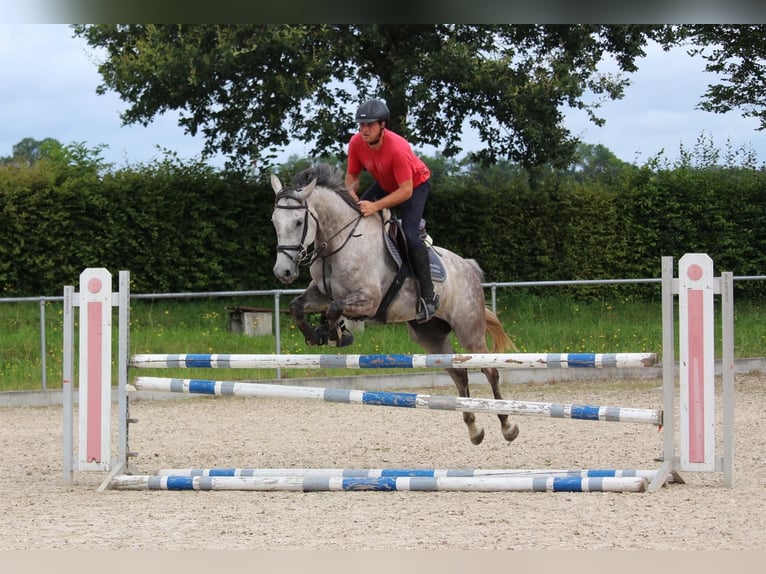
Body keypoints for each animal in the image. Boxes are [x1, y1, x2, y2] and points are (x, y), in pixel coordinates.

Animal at [272, 164, 520, 448]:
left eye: (299, 222)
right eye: (274, 222)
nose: (283, 272)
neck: (340, 243)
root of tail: (468, 266)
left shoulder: (369, 299)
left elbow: (335, 308)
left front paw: (336, 333)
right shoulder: (322, 293)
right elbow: (298, 306)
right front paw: (317, 335)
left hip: (470, 329)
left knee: (489, 369)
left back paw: (507, 426)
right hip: (431, 337)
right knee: (459, 374)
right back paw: (474, 430)